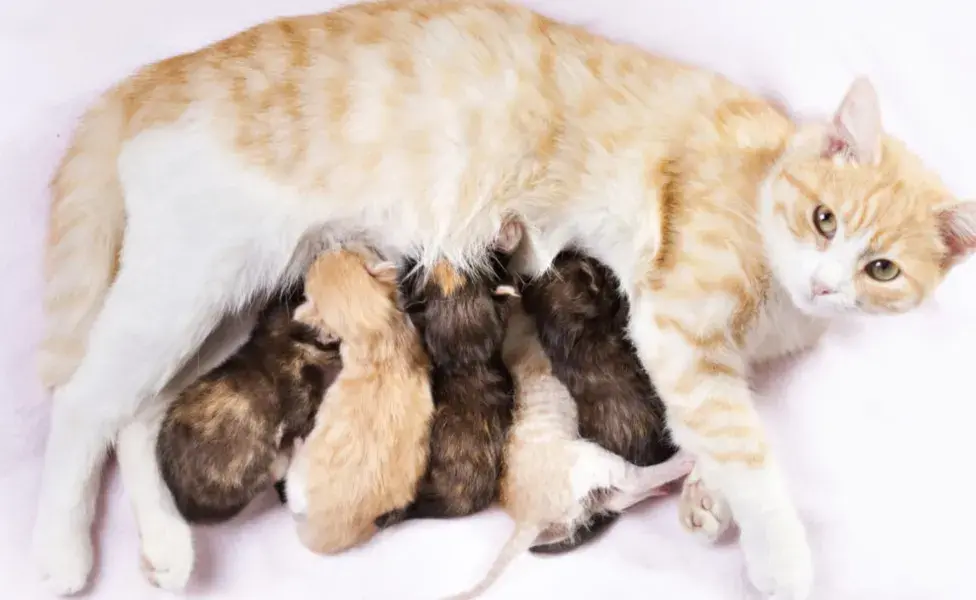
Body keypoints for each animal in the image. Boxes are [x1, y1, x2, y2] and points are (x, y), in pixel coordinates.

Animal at [450, 304, 692, 600]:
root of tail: (528, 520)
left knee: (615, 498)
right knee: (633, 479)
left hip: (585, 494)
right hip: (591, 460)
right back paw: (680, 462)